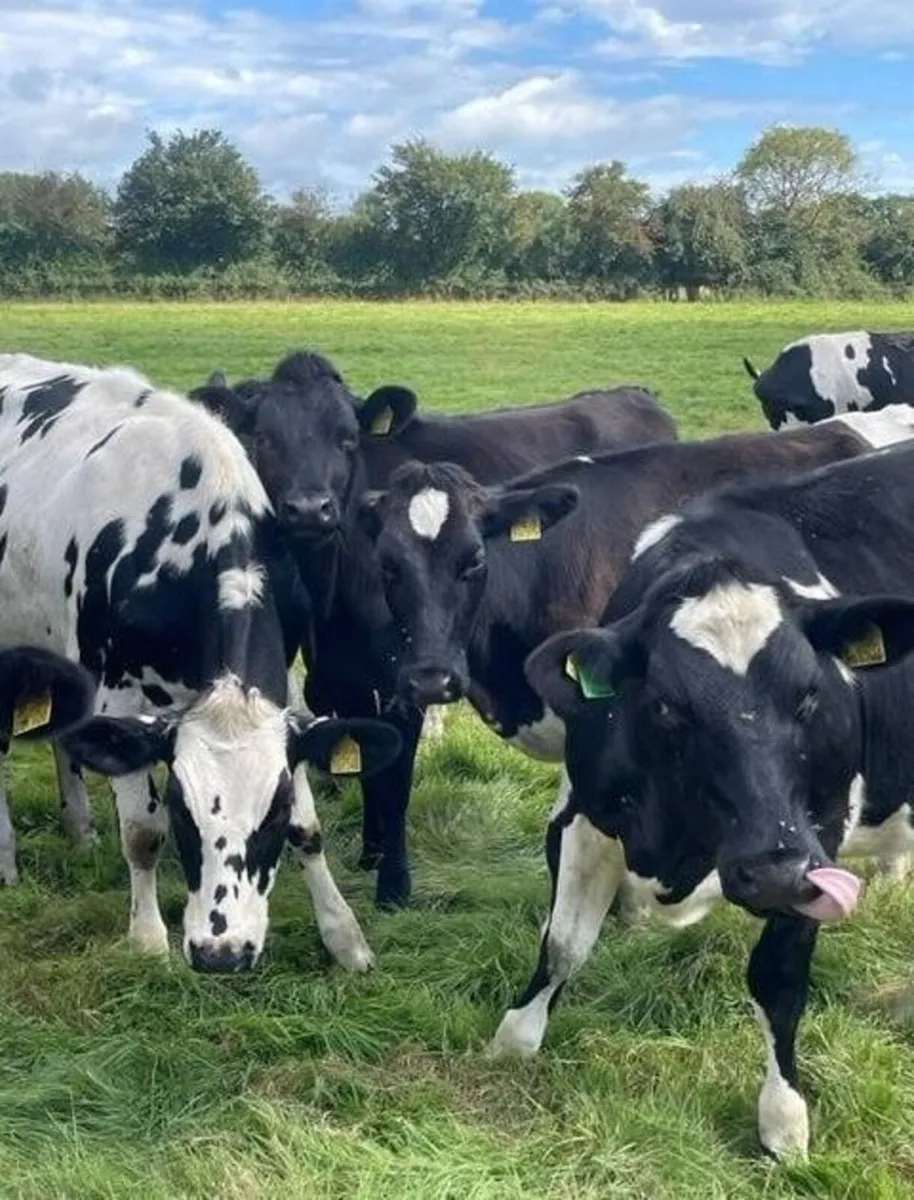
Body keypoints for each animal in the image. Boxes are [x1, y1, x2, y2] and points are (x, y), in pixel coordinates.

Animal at [0, 353, 401, 972]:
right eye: (181, 809)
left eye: (274, 810)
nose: (222, 952)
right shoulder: (118, 692)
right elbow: (142, 833)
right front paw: (146, 941)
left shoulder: (282, 694)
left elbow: (310, 829)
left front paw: (344, 934)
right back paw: (7, 861)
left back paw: (80, 829)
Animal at [189, 351, 678, 908]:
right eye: (265, 437)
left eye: (347, 438)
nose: (310, 508)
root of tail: (633, 393)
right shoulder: (343, 682)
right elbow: (368, 765)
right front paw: (371, 851)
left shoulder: (407, 681)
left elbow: (396, 784)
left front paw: (393, 884)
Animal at [492, 440, 914, 1160]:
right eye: (667, 707)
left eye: (811, 696)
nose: (771, 870)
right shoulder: (585, 813)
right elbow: (563, 942)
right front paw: (515, 1039)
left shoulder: (818, 835)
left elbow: (777, 975)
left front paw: (783, 1120)